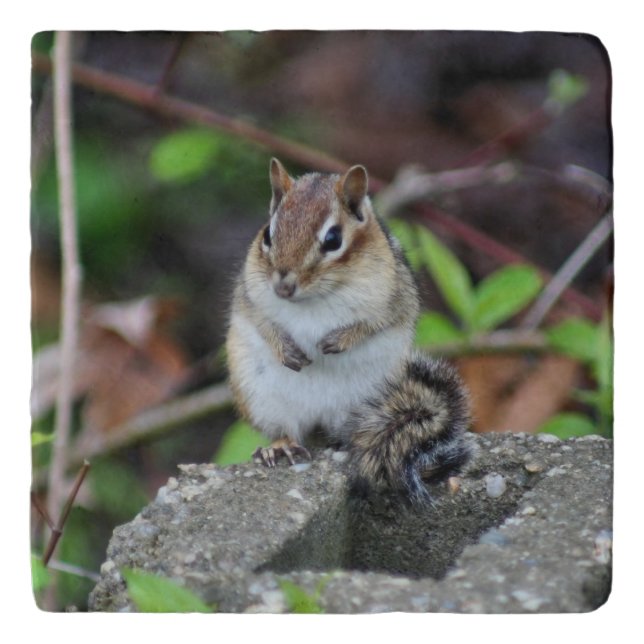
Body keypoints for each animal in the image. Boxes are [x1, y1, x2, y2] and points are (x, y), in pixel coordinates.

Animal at [226, 158, 471, 503]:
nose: (283, 287)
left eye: (333, 240)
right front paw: (285, 348)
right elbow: (262, 321)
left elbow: (375, 322)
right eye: (268, 235)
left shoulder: (394, 298)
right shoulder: (249, 295)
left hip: (372, 400)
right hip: (261, 398)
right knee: (287, 429)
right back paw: (281, 448)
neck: (313, 299)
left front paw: (339, 340)